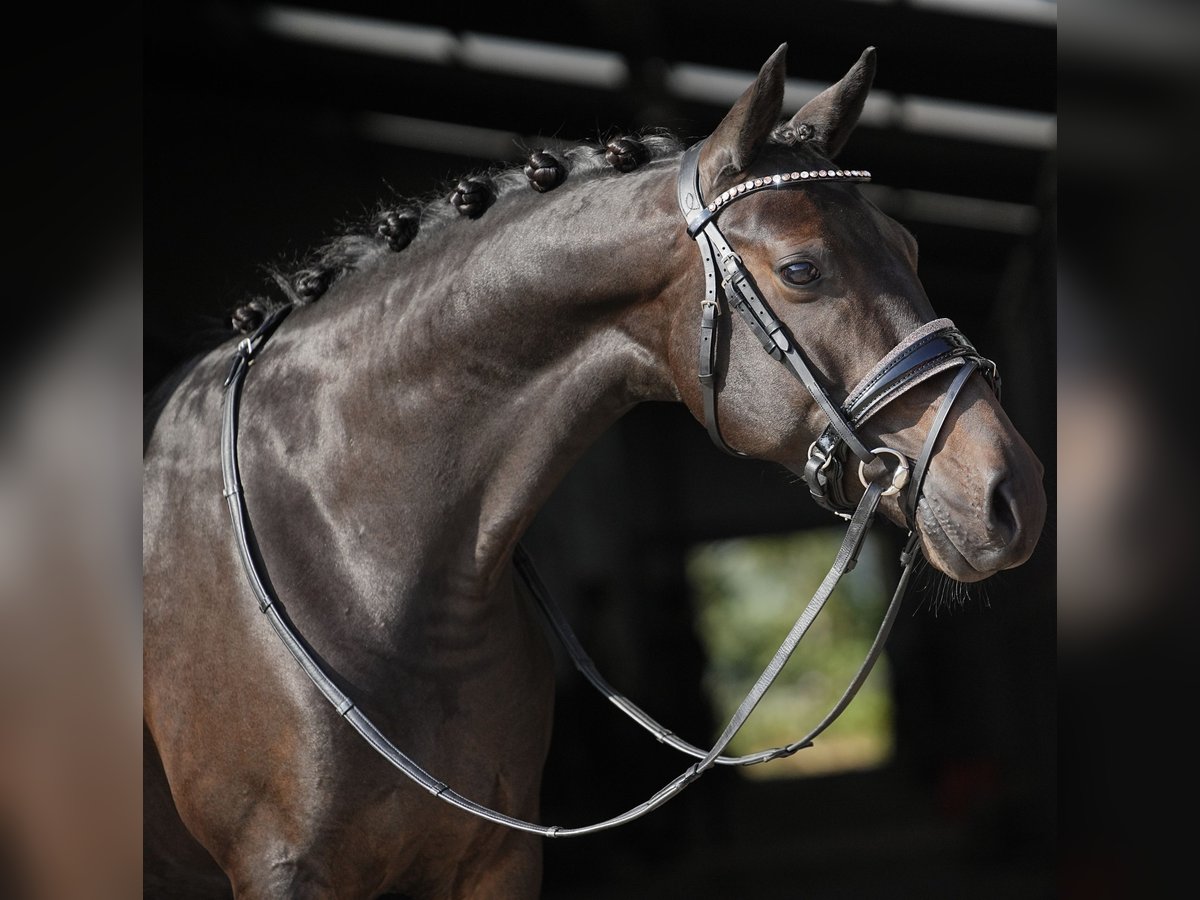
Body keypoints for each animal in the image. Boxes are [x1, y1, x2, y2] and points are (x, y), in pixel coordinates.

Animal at [138, 45, 1041, 897]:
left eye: (911, 247)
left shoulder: (498, 860)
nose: (1013, 495)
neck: (349, 545)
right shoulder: (284, 867)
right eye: (801, 270)